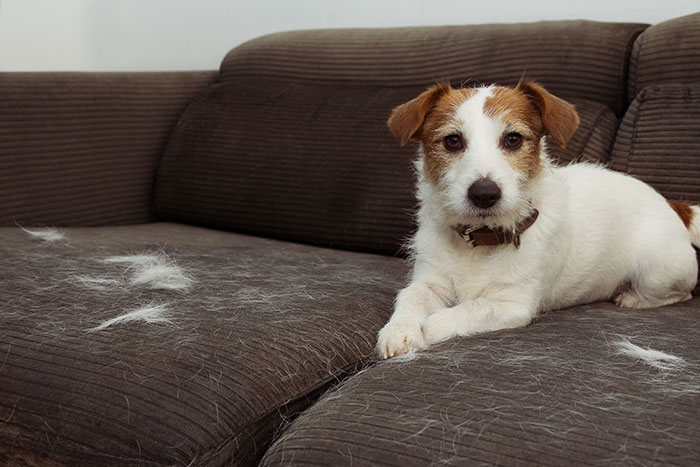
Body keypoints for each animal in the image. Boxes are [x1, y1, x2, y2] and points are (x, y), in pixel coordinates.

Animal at [378, 81, 700, 358]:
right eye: (453, 141)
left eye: (513, 139)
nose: (484, 193)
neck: (481, 240)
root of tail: (672, 205)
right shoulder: (429, 283)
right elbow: (409, 297)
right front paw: (400, 329)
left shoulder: (513, 305)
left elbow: (468, 309)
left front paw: (428, 327)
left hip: (657, 272)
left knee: (681, 294)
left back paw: (632, 298)